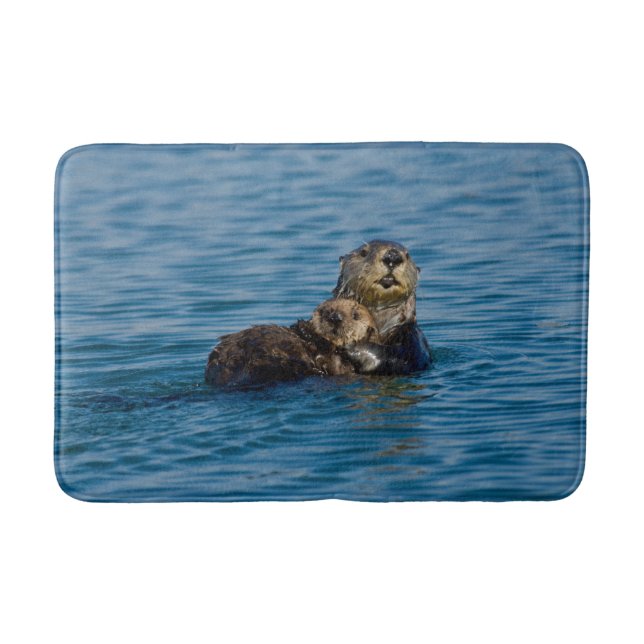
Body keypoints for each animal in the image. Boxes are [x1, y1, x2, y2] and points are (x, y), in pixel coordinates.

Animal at [333, 240, 431, 375]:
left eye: (408, 255)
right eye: (363, 252)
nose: (393, 256)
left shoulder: (415, 342)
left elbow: (400, 359)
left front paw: (352, 347)